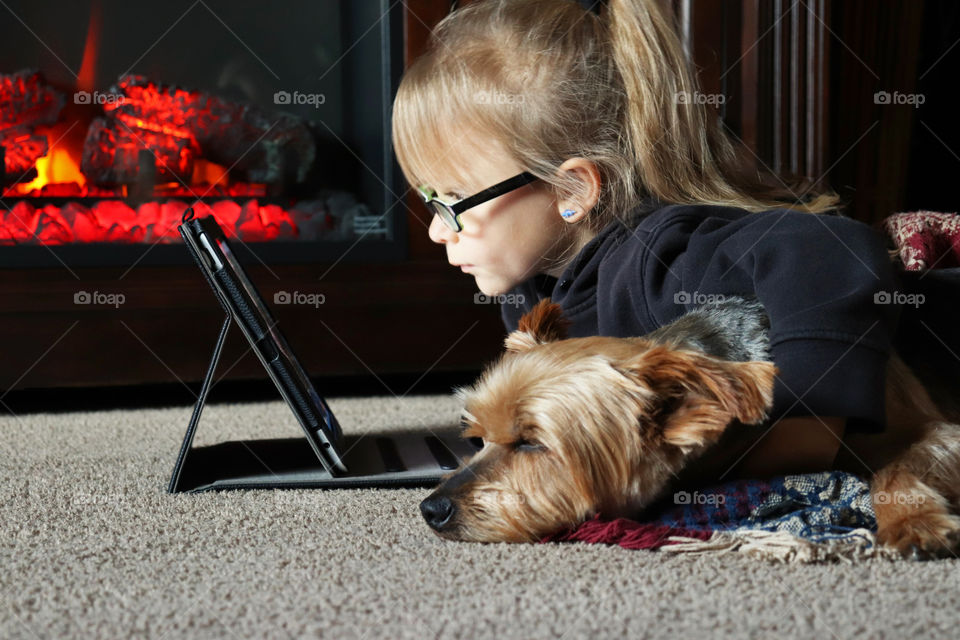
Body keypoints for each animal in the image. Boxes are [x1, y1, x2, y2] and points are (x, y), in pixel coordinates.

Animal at [420, 294, 960, 556]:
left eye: (532, 443)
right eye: (477, 439)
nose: (430, 509)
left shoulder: (932, 430)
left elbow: (894, 468)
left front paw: (914, 525)